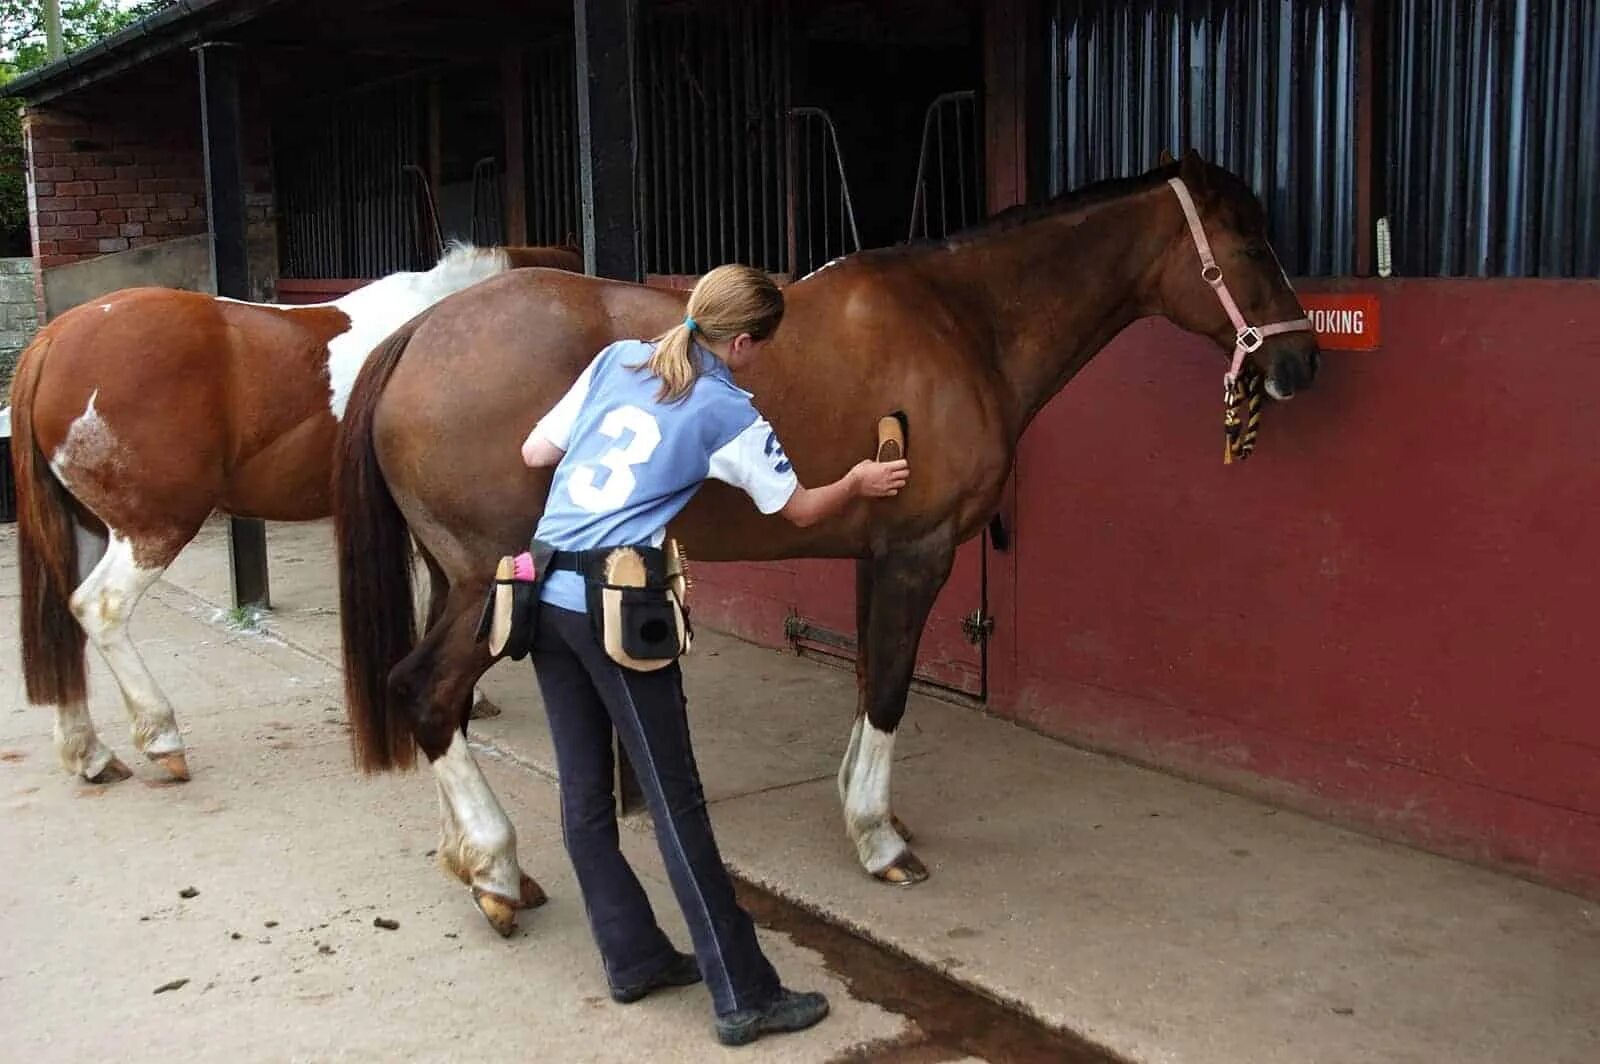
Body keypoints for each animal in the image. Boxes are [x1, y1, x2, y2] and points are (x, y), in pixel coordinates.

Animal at [7, 244, 582, 784]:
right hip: (153, 529)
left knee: (65, 618)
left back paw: (89, 753)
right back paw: (161, 737)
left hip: (86, 528)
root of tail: (54, 338)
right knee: (100, 607)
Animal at [334, 153, 1312, 934]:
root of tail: (419, 333)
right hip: (493, 583)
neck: (963, 321)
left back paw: (473, 860)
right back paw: (497, 869)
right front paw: (880, 843)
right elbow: (889, 689)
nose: (1299, 365)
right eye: (1251, 245)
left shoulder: (877, 555)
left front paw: (864, 809)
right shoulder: (919, 552)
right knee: (425, 693)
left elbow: (868, 678)